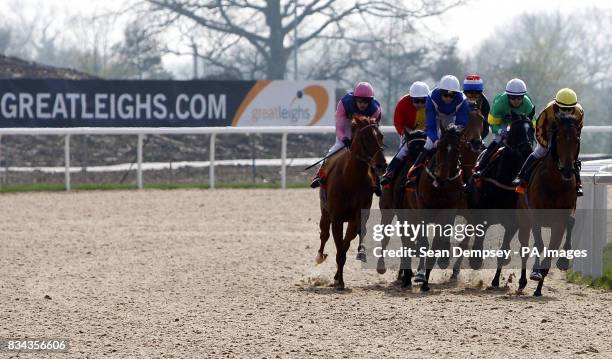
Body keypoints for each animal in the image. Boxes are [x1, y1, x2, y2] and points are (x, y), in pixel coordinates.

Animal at [316, 116, 388, 292]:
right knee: (324, 235)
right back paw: (320, 256)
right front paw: (340, 282)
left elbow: (346, 245)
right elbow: (339, 249)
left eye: (381, 135)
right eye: (365, 138)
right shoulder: (336, 219)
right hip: (325, 213)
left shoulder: (358, 216)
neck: (350, 180)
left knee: (345, 242)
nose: (382, 165)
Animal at [516, 114, 580, 296]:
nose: (567, 170)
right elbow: (538, 245)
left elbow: (552, 248)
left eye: (577, 139)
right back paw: (522, 282)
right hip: (523, 219)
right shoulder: (536, 217)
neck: (555, 183)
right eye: (558, 139)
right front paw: (536, 273)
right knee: (524, 248)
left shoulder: (559, 221)